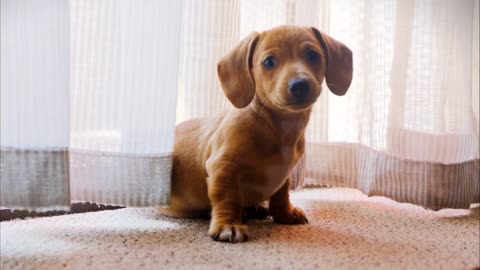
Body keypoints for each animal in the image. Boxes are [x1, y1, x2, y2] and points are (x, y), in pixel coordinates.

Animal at [159, 26, 350, 244]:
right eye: (269, 62)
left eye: (313, 55)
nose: (300, 85)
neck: (277, 127)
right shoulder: (223, 167)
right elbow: (226, 198)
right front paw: (228, 225)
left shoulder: (284, 175)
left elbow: (281, 193)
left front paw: (285, 214)